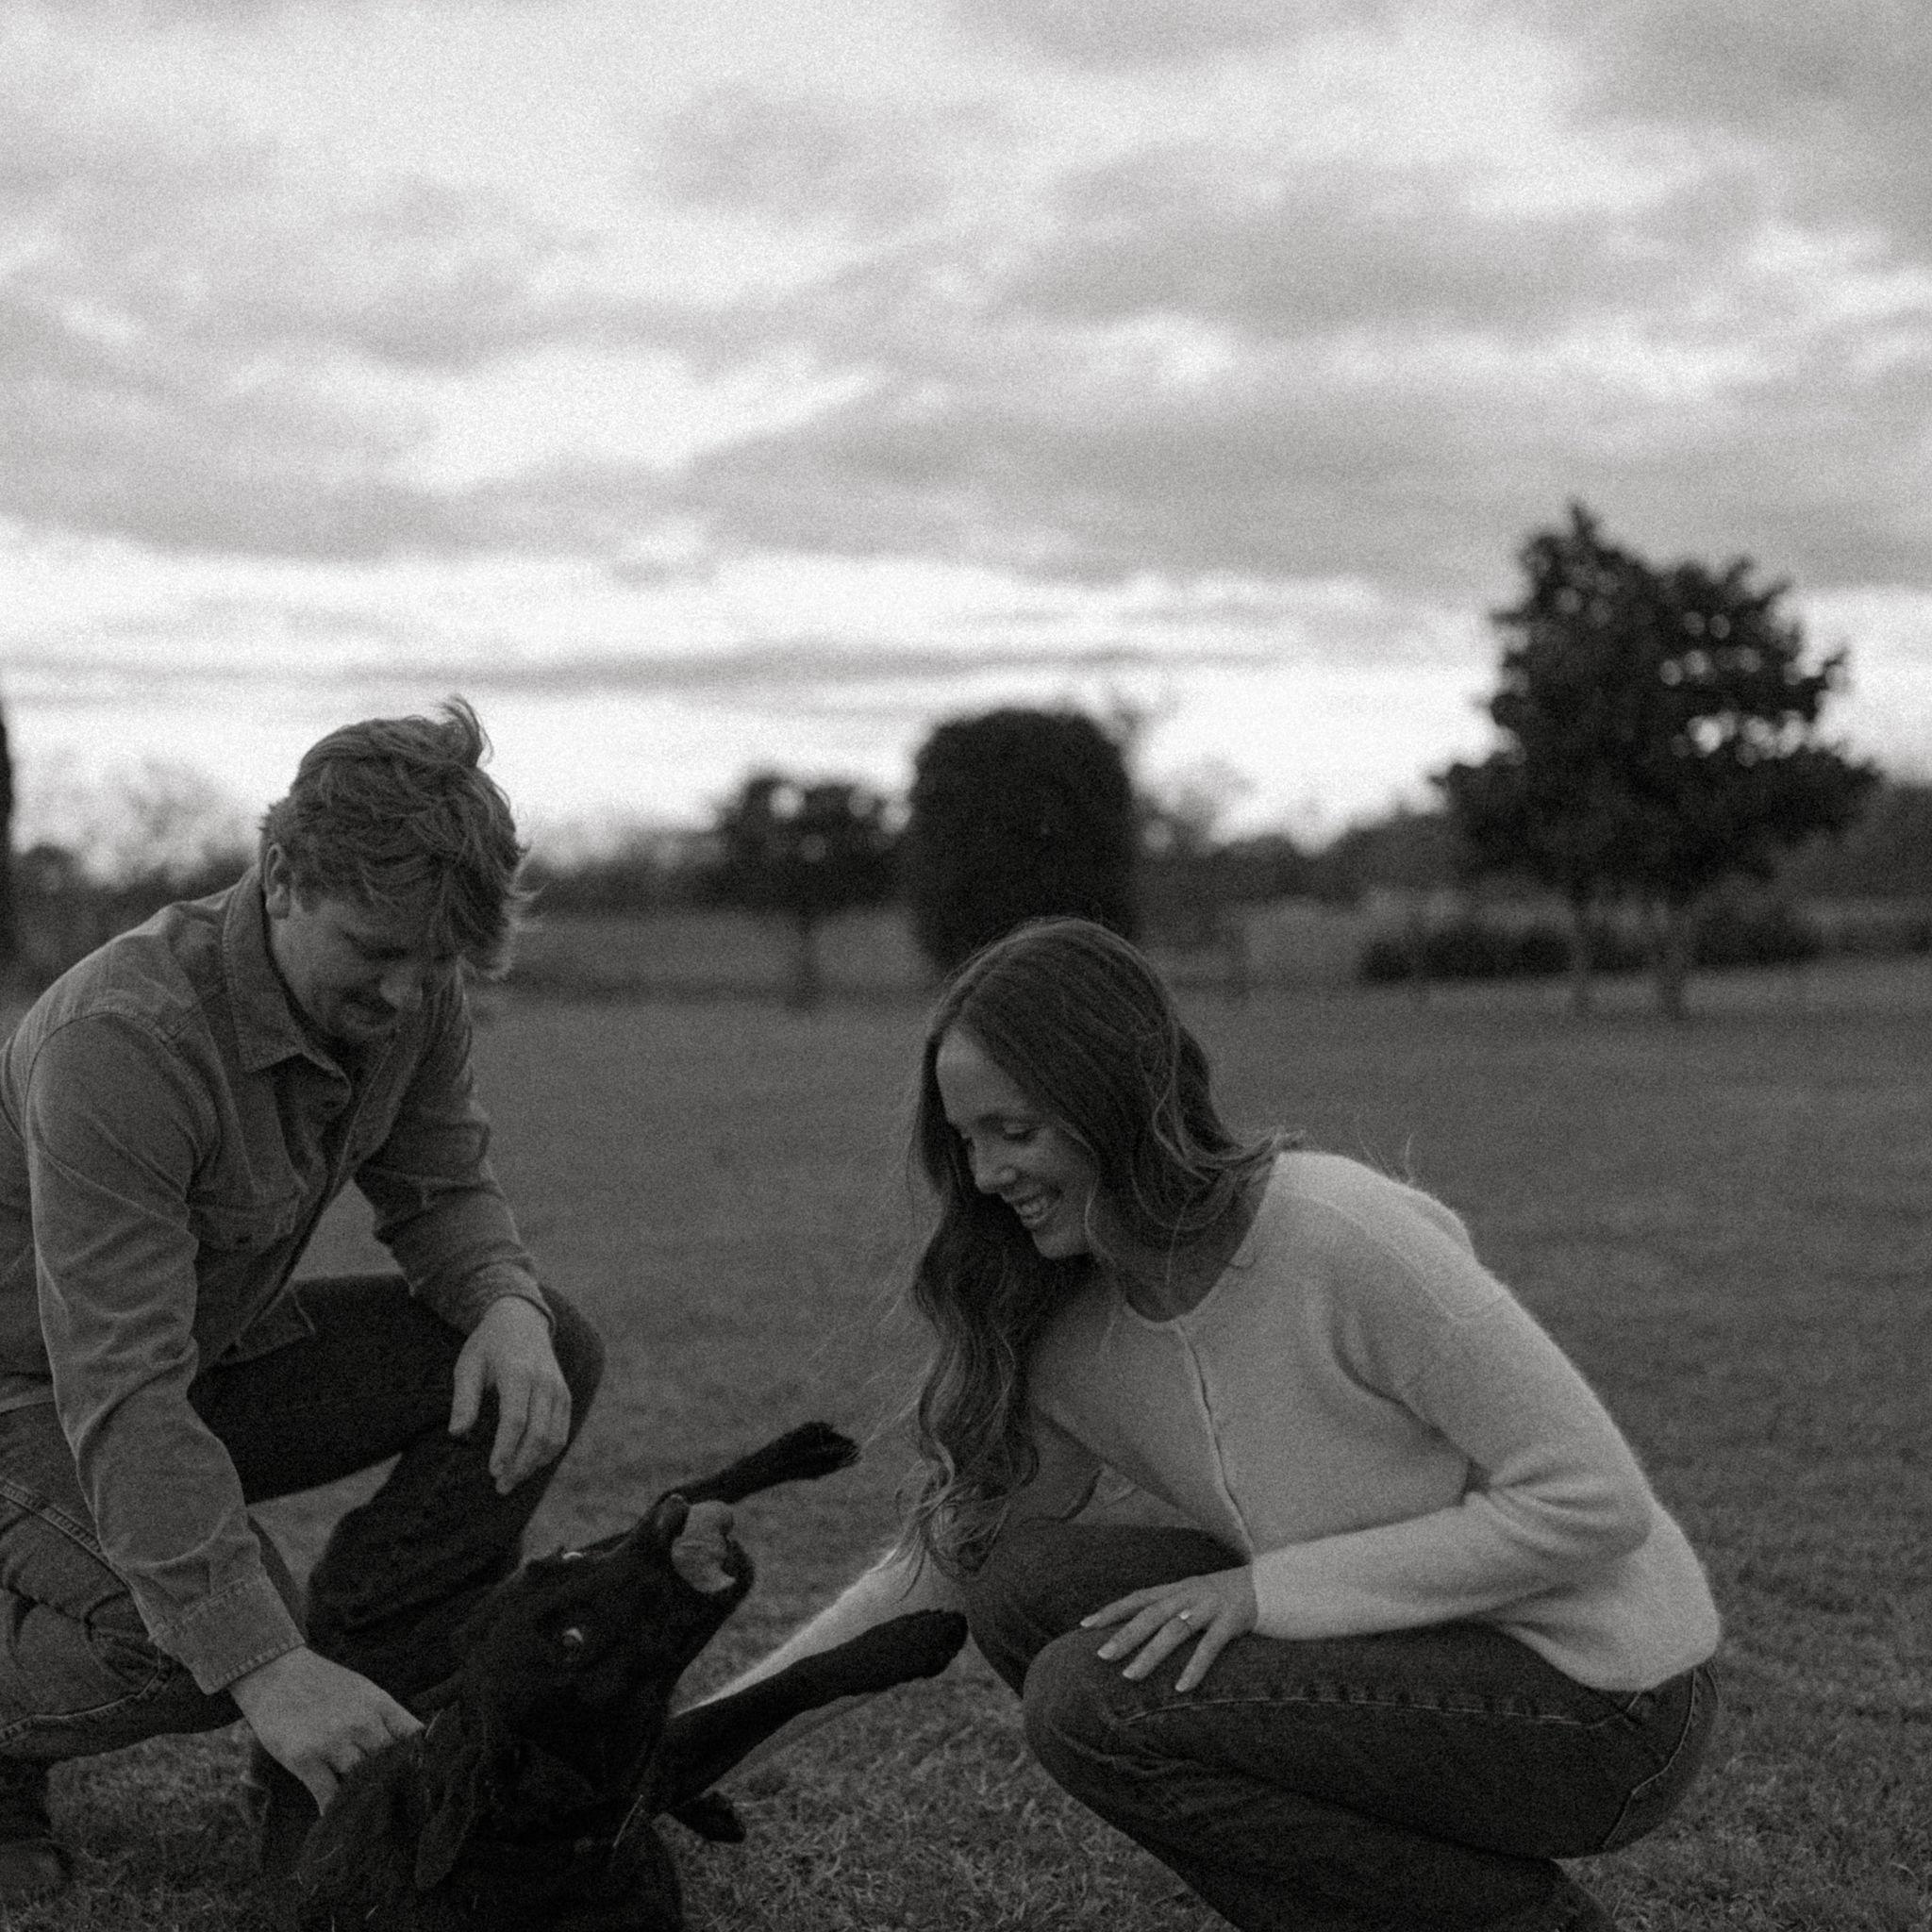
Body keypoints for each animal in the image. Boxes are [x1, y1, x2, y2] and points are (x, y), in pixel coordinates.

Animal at [289, 1422, 966, 1931]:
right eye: (572, 1642)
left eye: (559, 1559)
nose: (669, 1525)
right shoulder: (650, 1770)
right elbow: (786, 1684)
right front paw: (916, 1639)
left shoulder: (650, 1769)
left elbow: (784, 1682)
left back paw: (796, 1452)